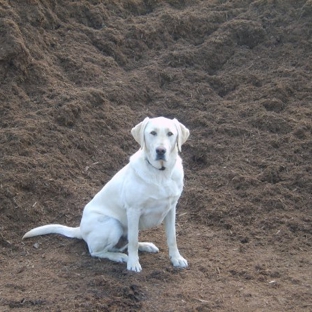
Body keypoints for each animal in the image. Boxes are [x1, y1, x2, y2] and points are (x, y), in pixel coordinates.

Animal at [23, 116, 189, 272]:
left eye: (170, 134)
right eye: (153, 133)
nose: (161, 150)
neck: (160, 174)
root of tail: (80, 229)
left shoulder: (171, 209)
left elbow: (172, 237)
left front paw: (176, 259)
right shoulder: (133, 210)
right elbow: (133, 241)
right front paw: (133, 263)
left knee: (125, 242)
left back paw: (145, 246)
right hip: (112, 224)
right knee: (97, 251)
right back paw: (120, 257)